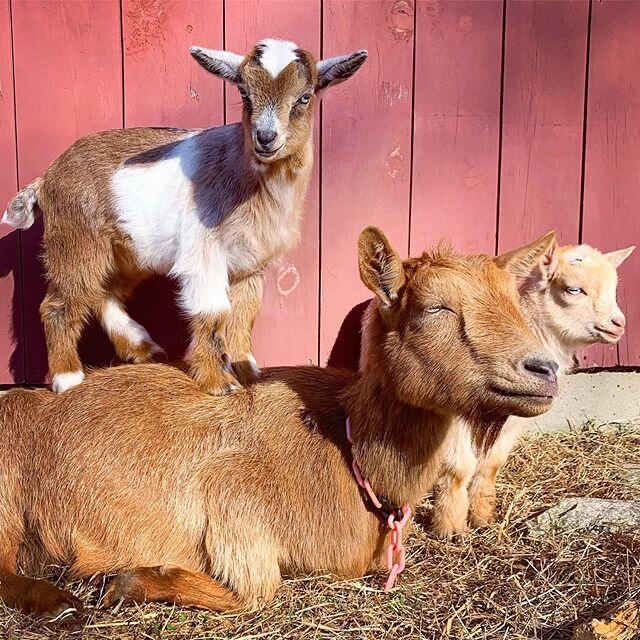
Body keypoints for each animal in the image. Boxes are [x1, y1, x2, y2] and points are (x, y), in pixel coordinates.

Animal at [0, 228, 556, 616]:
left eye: (515, 300)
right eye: (436, 307)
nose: (544, 369)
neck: (347, 447)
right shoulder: (233, 495)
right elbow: (256, 592)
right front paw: (125, 580)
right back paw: (58, 601)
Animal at [436, 234, 636, 536]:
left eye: (613, 290)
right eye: (574, 289)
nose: (619, 324)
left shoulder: (513, 421)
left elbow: (491, 465)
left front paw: (483, 518)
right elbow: (459, 468)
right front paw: (450, 527)